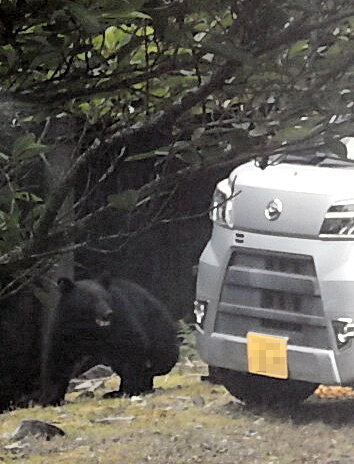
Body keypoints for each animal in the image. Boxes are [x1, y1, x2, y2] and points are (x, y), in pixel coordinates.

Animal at [39, 276, 180, 406]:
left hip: (161, 341)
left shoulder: (121, 319)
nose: (108, 313)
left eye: (105, 298)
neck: (89, 328)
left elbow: (133, 347)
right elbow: (59, 360)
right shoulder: (64, 328)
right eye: (90, 299)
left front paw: (130, 390)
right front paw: (51, 400)